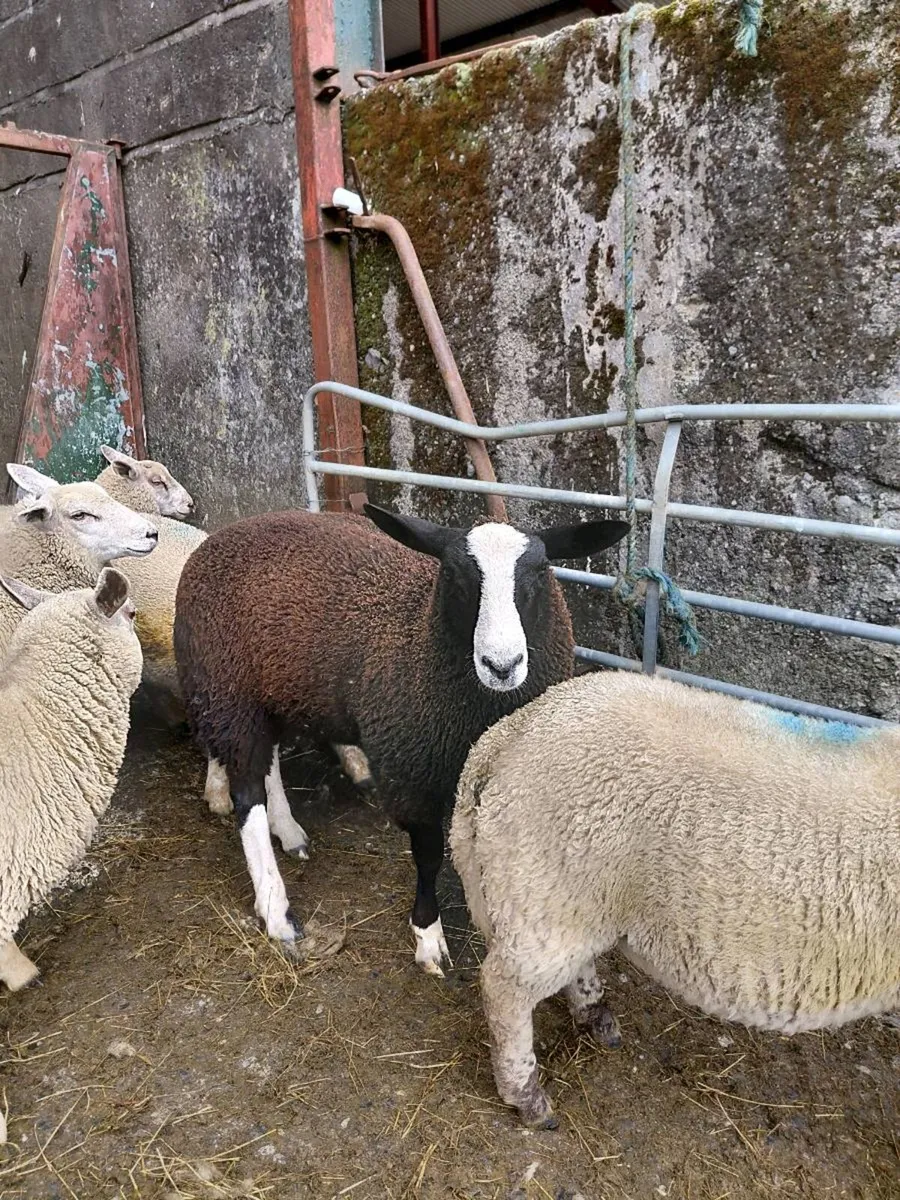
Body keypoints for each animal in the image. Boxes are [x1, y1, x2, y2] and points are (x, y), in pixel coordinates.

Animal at [174, 505, 629, 972]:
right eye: (454, 575)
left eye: (540, 571)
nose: (501, 665)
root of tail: (229, 531)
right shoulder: (412, 772)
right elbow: (428, 857)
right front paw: (428, 936)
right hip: (226, 687)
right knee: (248, 793)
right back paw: (277, 910)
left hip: (271, 693)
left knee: (271, 763)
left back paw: (289, 830)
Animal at [449, 670, 900, 1128]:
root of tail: (508, 735)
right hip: (545, 884)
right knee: (503, 990)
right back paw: (526, 1095)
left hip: (571, 897)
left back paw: (595, 1014)